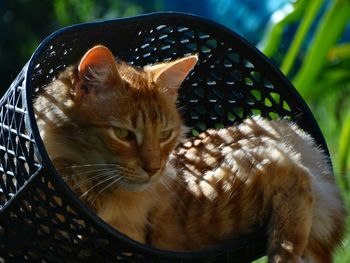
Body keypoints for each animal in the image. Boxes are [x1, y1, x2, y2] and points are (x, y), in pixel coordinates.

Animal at [34, 44, 346, 262]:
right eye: (123, 134)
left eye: (164, 135)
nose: (153, 169)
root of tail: (281, 128)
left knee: (293, 184)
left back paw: (284, 254)